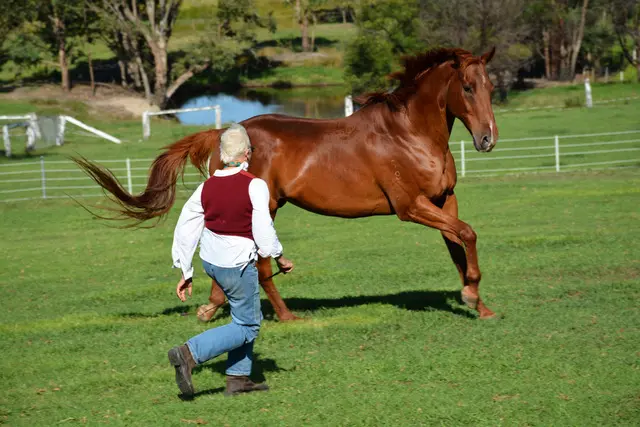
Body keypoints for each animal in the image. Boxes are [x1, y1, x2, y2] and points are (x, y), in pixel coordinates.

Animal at [74, 47, 499, 321]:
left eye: (491, 87)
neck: (410, 135)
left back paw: (211, 307)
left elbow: (458, 245)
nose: (487, 140)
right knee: (260, 264)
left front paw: (478, 304)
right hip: (264, 207)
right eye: (467, 87)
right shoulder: (410, 206)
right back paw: (285, 315)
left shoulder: (444, 200)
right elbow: (469, 234)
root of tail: (222, 132)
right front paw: (471, 293)